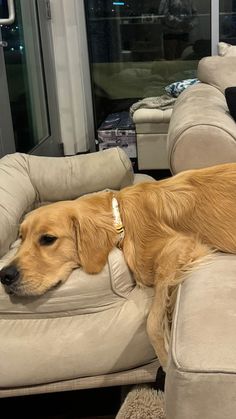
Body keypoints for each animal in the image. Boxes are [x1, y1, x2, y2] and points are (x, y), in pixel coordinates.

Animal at [1, 162, 236, 366]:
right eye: (21, 237)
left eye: (48, 239)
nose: (5, 275)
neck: (120, 216)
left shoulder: (179, 245)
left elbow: (151, 323)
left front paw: (164, 358)